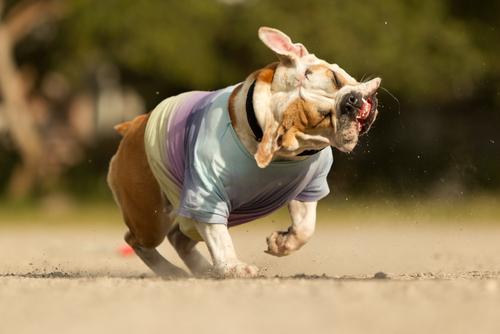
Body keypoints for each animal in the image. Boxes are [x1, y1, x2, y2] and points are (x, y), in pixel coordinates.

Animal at [109, 27, 380, 278]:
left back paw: (202, 269)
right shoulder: (206, 193)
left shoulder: (310, 185)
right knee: (138, 241)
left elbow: (305, 227)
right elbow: (219, 237)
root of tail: (133, 125)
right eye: (322, 117)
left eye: (336, 78)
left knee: (180, 236)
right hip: (151, 218)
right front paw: (234, 266)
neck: (261, 118)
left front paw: (282, 243)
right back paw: (171, 271)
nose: (352, 102)